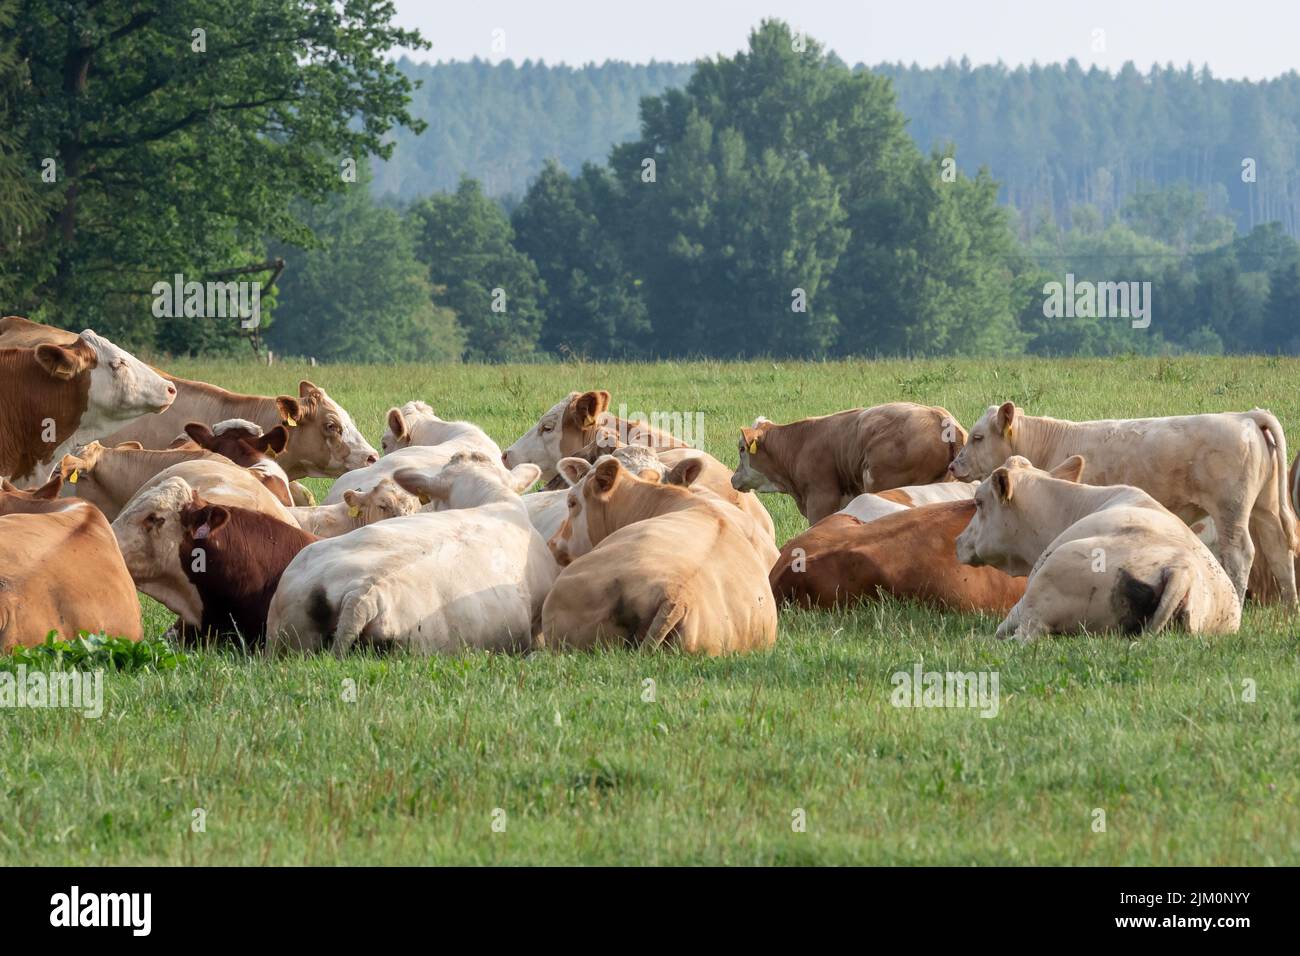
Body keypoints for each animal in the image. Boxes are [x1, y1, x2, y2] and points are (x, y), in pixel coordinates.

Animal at [949, 401, 1296, 604]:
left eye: (978, 437)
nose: (953, 466)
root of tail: (1245, 416)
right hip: (1264, 508)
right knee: (1279, 550)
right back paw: (1291, 607)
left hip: (1231, 510)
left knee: (1240, 554)